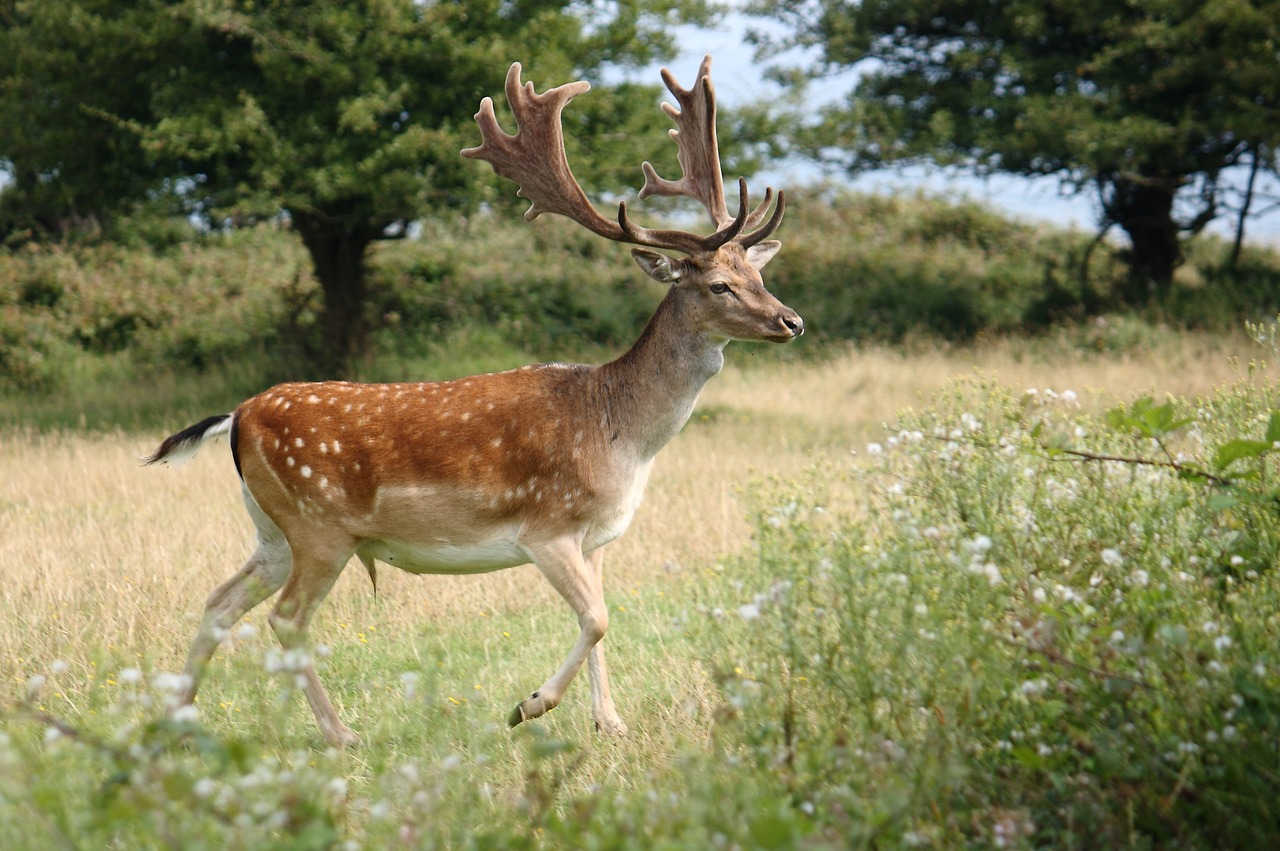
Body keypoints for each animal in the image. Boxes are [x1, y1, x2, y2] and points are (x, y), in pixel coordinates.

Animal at [147, 56, 798, 742]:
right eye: (720, 285)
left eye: (759, 274)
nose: (791, 321)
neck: (619, 434)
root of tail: (238, 418)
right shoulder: (548, 526)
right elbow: (597, 620)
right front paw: (528, 705)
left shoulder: (594, 540)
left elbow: (601, 623)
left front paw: (611, 723)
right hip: (319, 525)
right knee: (286, 617)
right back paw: (341, 735)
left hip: (272, 529)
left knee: (220, 601)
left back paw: (178, 719)